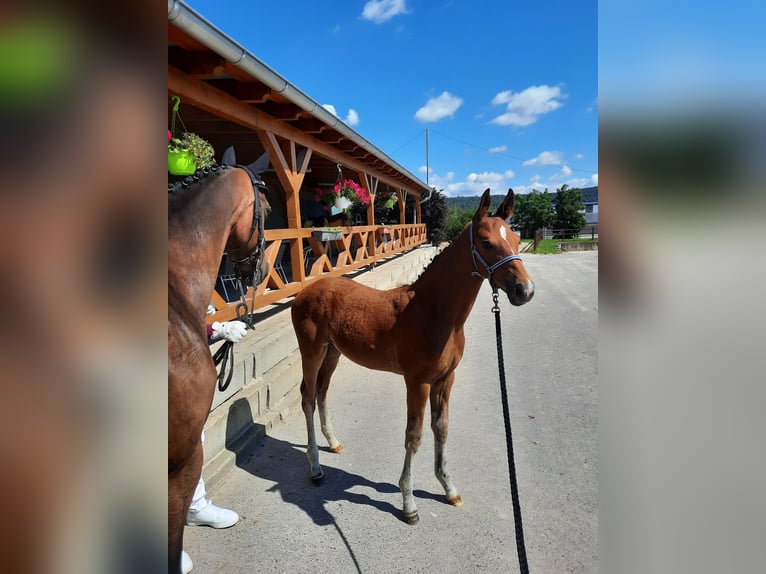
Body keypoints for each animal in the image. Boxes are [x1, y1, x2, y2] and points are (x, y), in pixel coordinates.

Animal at [290, 188, 534, 524]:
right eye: (486, 243)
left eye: (514, 236)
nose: (525, 290)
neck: (433, 314)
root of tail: (304, 292)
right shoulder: (417, 382)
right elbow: (414, 436)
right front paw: (408, 503)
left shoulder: (445, 379)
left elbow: (441, 429)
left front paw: (449, 488)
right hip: (312, 352)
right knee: (308, 398)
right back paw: (315, 468)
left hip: (333, 352)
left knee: (322, 392)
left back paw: (334, 443)